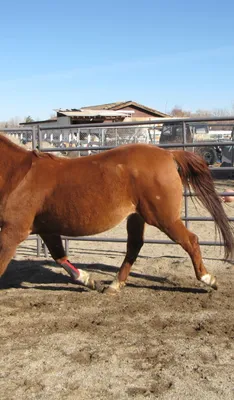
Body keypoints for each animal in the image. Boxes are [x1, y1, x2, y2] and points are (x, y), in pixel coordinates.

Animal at [0, 133, 234, 292]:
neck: (17, 176)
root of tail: (169, 153)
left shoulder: (12, 232)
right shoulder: (46, 229)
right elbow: (60, 256)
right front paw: (89, 280)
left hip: (163, 218)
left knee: (191, 240)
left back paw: (208, 279)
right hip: (138, 217)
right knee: (134, 246)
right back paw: (114, 284)